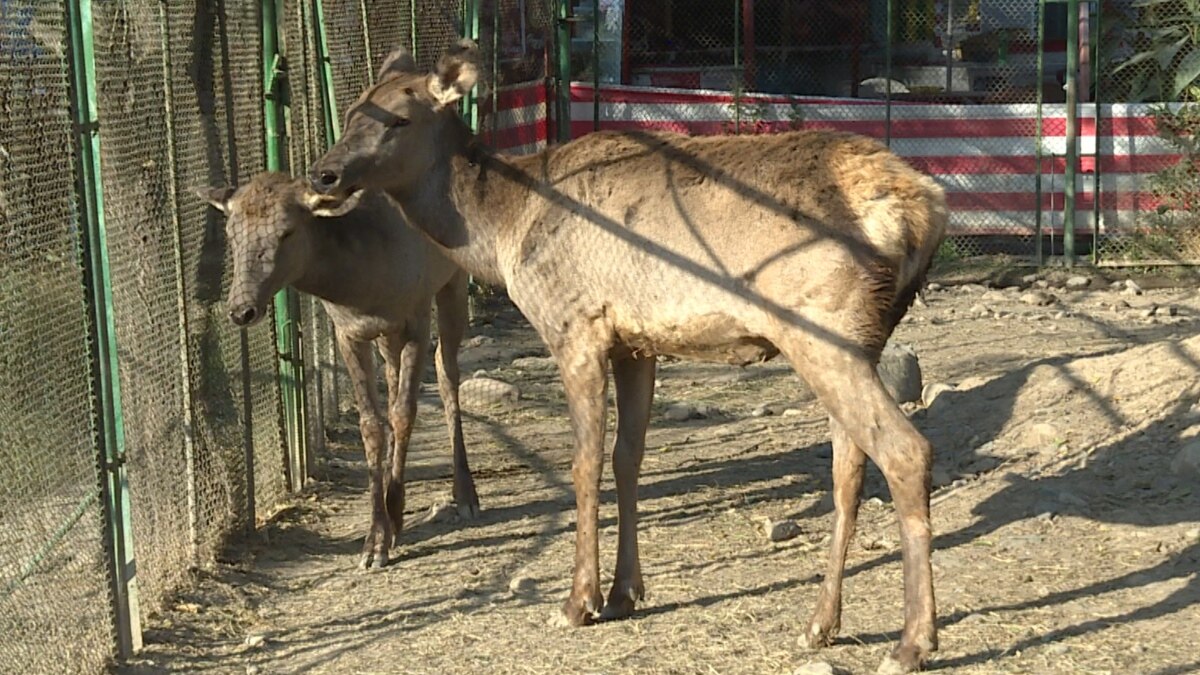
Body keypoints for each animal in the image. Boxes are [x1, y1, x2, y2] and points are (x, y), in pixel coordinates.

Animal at [196, 171, 477, 566]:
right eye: (232, 233)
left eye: (286, 231)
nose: (241, 309)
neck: (363, 288)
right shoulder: (349, 331)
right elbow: (371, 424)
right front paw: (378, 535)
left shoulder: (416, 316)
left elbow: (404, 413)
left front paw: (390, 521)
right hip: (389, 336)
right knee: (395, 379)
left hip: (453, 278)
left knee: (446, 370)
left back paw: (465, 493)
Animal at [307, 43, 945, 672]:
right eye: (352, 111)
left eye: (399, 118)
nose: (322, 173)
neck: (503, 232)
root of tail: (924, 211)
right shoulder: (637, 344)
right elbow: (626, 459)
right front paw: (623, 592)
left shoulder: (576, 326)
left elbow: (584, 464)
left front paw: (578, 601)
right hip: (858, 338)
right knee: (849, 466)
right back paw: (821, 624)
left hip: (823, 329)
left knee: (905, 450)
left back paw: (911, 642)